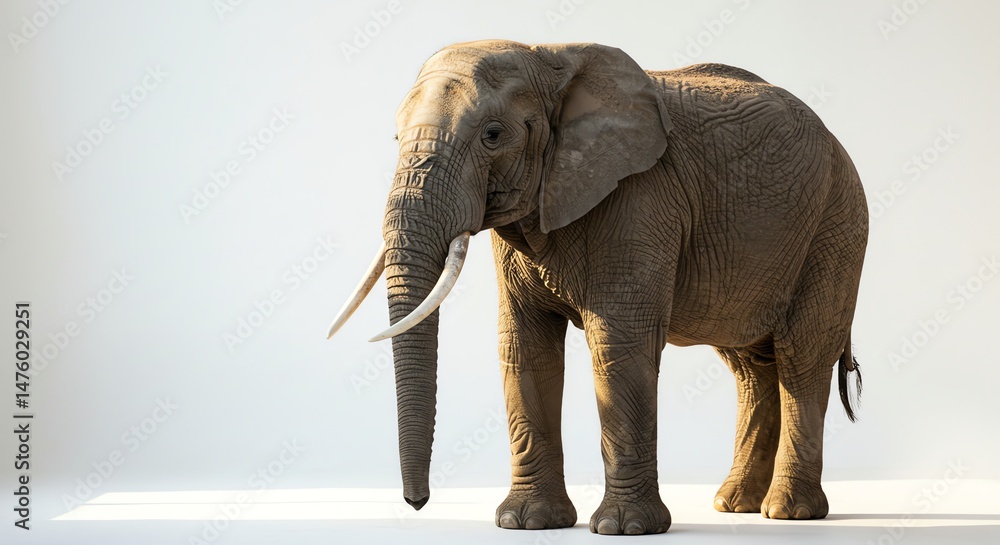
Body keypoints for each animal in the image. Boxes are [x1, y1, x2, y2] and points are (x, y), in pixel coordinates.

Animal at [327, 40, 867, 535]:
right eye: (395, 135)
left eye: (493, 135)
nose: (417, 504)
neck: (549, 59)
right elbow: (525, 346)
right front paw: (526, 523)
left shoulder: (642, 198)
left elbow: (619, 345)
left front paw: (624, 528)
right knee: (750, 367)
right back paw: (735, 506)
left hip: (835, 227)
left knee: (800, 357)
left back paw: (789, 512)